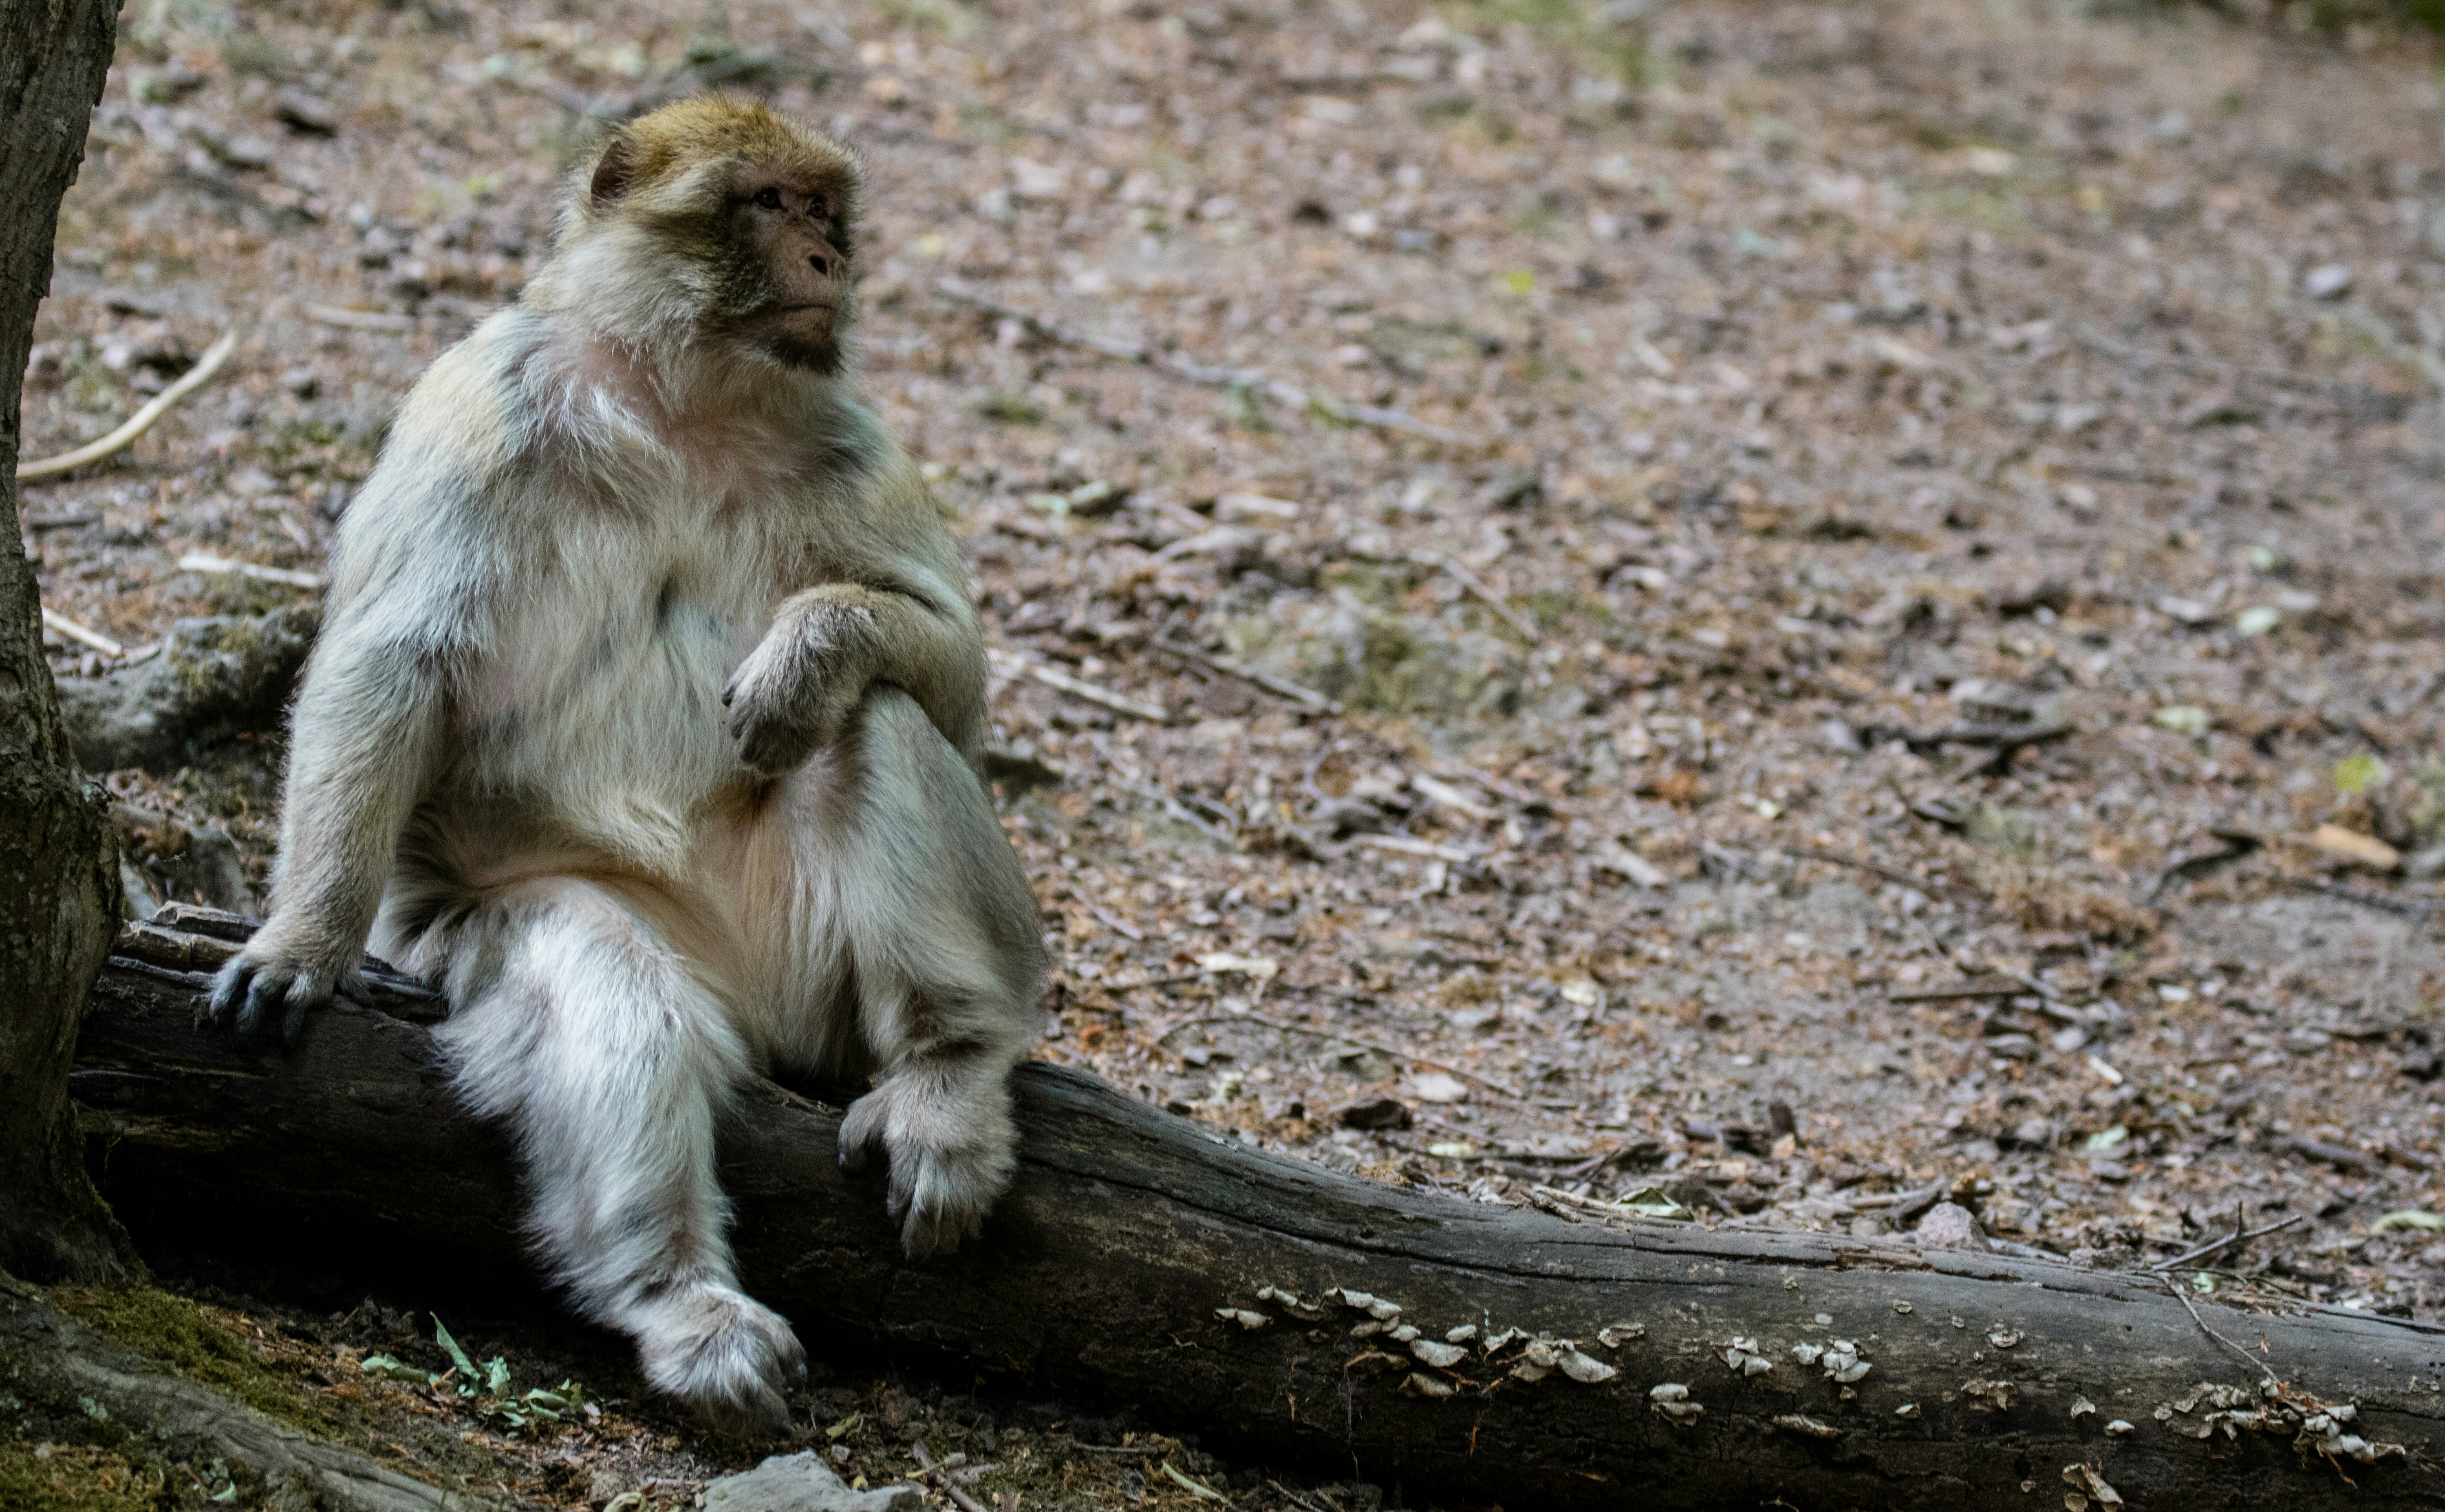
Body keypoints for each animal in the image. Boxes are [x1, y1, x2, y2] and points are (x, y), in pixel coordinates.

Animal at [208, 96, 1048, 1436]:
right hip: (507, 930)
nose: (829, 258)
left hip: (812, 982)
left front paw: (810, 649)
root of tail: (758, 1010)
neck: (679, 399)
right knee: (615, 986)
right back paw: (682, 1305)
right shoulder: (479, 399)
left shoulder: (852, 437)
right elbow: (391, 661)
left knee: (869, 724)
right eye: (765, 204)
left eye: (825, 208)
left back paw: (947, 1074)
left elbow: (953, 683)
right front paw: (304, 939)